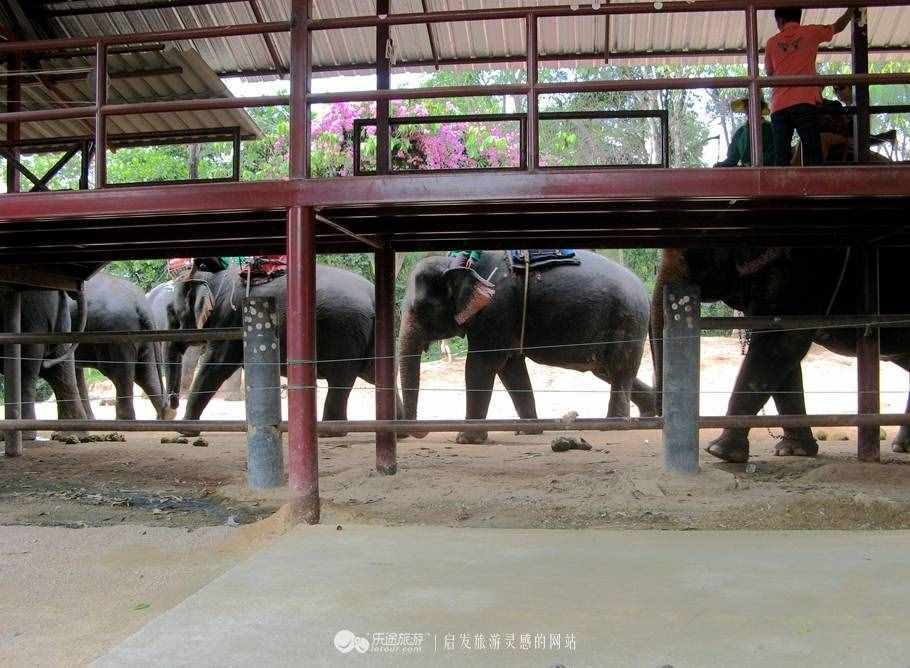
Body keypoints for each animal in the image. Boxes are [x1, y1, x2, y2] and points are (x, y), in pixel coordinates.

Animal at [70, 270, 175, 418]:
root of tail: (140, 303)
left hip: (116, 335)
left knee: (121, 375)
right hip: (143, 338)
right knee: (146, 376)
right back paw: (167, 414)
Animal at [165, 260, 406, 434]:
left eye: (171, 312)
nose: (171, 408)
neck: (213, 278)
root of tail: (372, 296)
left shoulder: (229, 320)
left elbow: (216, 366)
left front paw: (186, 431)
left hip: (345, 330)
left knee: (341, 380)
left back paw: (330, 432)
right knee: (377, 376)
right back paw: (400, 431)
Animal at [400, 250, 656, 444]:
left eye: (423, 308)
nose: (423, 430)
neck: (457, 262)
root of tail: (647, 294)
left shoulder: (497, 307)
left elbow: (481, 364)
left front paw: (465, 440)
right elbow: (510, 367)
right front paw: (527, 431)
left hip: (627, 322)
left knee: (619, 370)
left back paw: (612, 426)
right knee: (607, 371)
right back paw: (646, 415)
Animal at [652, 247, 910, 464]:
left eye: (695, 255)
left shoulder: (804, 274)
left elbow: (780, 345)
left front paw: (719, 451)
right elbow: (783, 355)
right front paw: (793, 451)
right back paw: (902, 446)